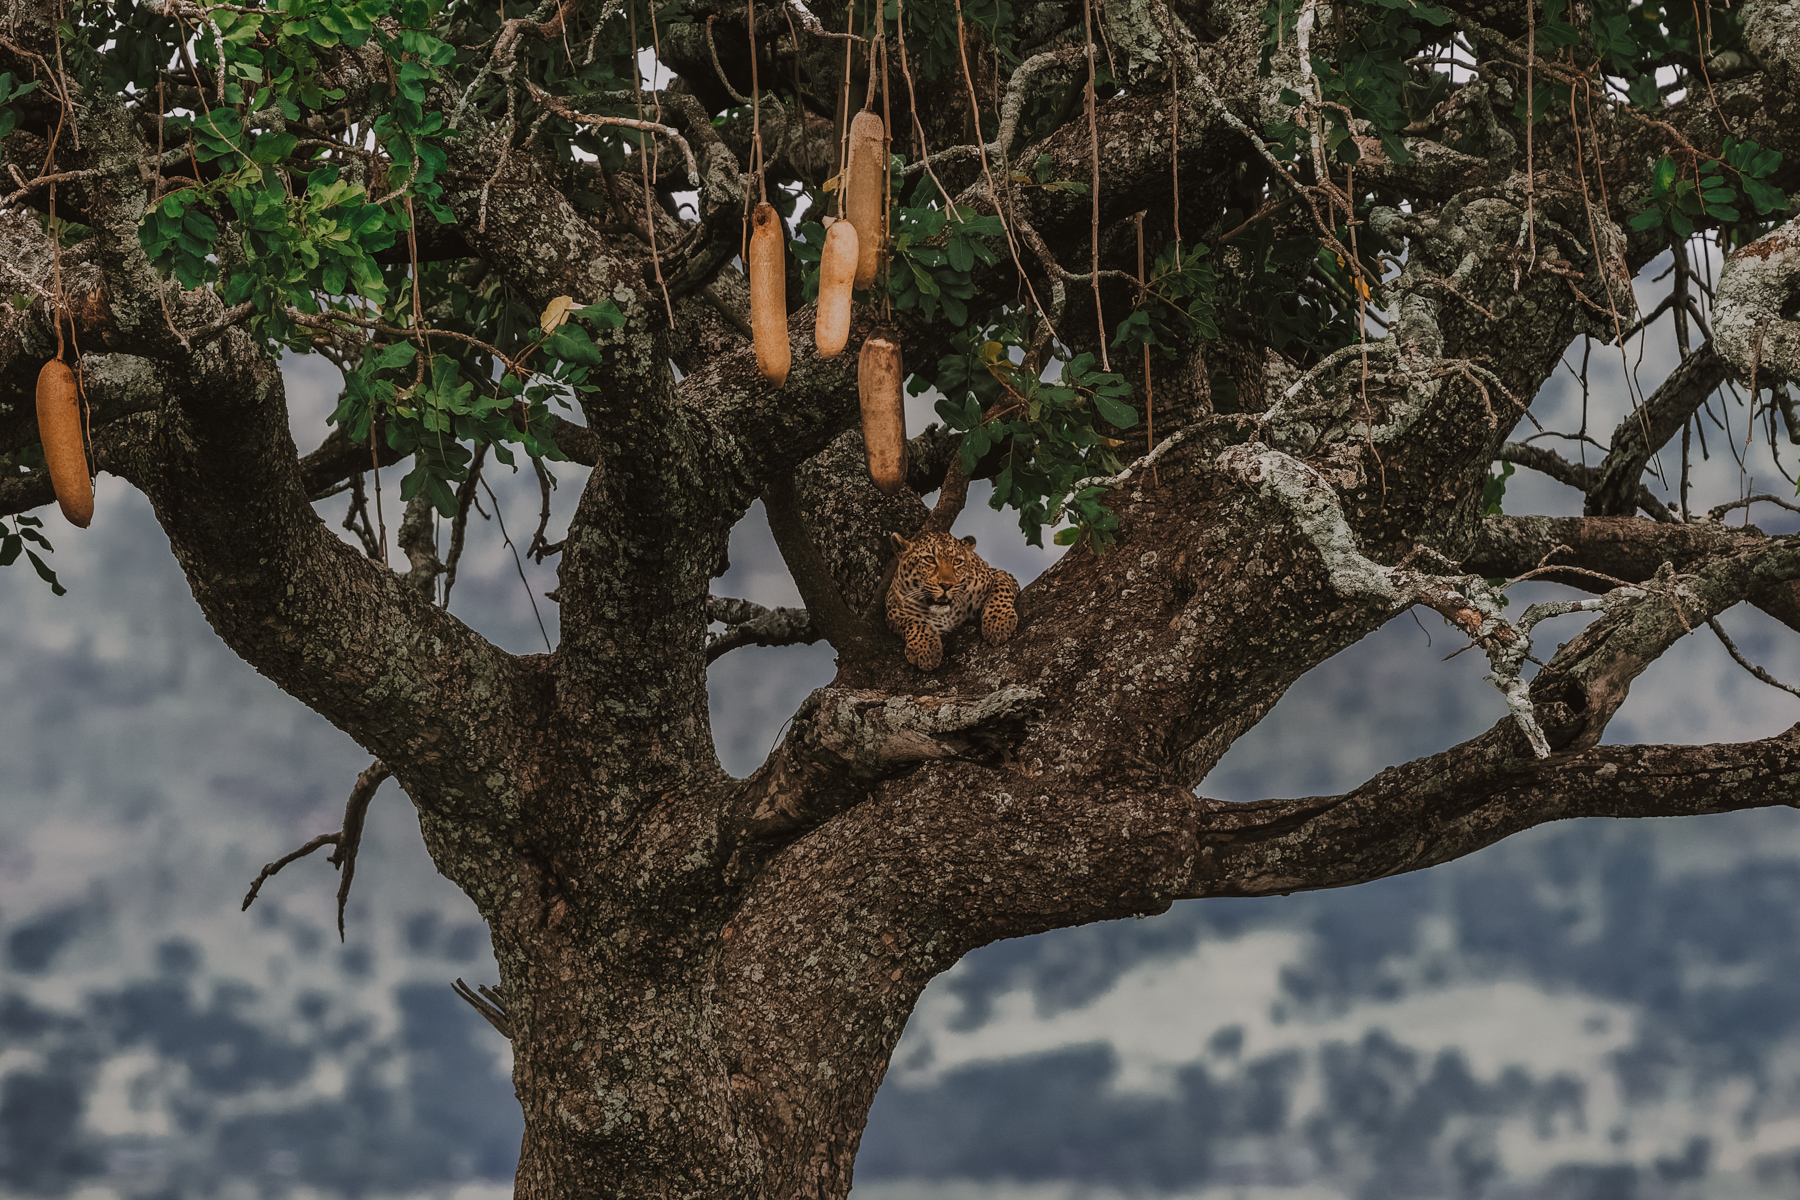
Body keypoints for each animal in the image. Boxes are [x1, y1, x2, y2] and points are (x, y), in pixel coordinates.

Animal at [885, 529, 1020, 670]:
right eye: (929, 559)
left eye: (957, 562)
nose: (946, 585)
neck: (946, 614)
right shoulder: (893, 611)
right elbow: (914, 622)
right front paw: (926, 650)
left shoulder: (999, 574)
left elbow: (1000, 590)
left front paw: (998, 624)